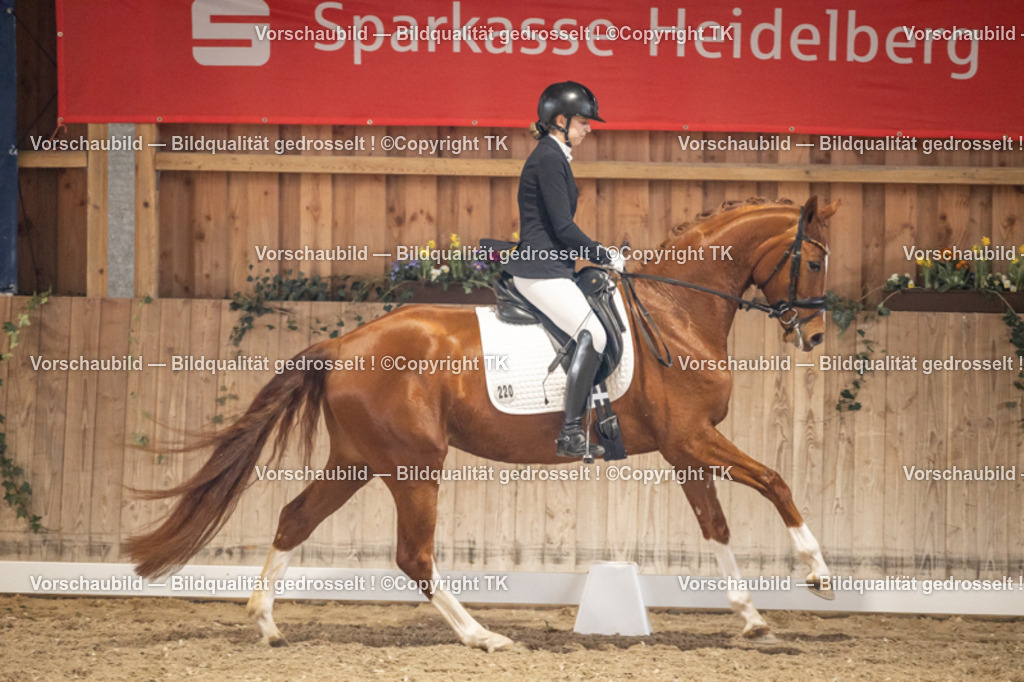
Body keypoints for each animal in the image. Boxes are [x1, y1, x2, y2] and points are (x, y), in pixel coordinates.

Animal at [127, 195, 839, 652]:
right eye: (816, 260)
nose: (816, 335)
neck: (675, 310)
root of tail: (342, 344)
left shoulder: (684, 448)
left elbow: (716, 525)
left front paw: (752, 618)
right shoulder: (691, 437)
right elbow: (775, 482)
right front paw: (819, 575)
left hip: (358, 460)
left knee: (295, 517)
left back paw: (267, 624)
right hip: (413, 465)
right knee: (413, 555)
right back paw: (482, 636)